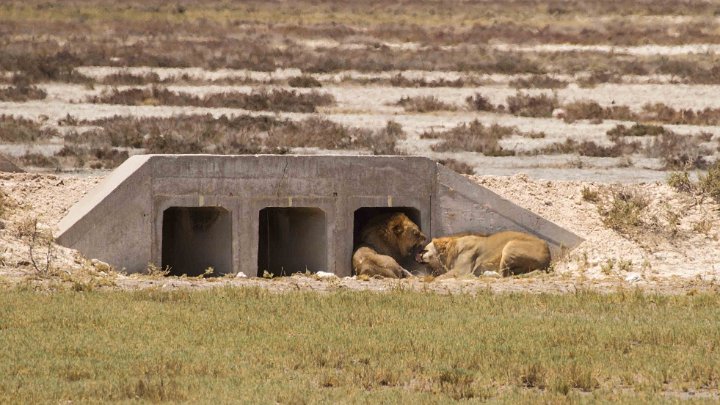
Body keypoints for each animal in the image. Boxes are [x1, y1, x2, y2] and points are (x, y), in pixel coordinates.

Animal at [416, 230, 552, 278]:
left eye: (425, 250)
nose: (415, 256)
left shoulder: (462, 271)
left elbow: (440, 277)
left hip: (510, 245)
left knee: (503, 276)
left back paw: (485, 274)